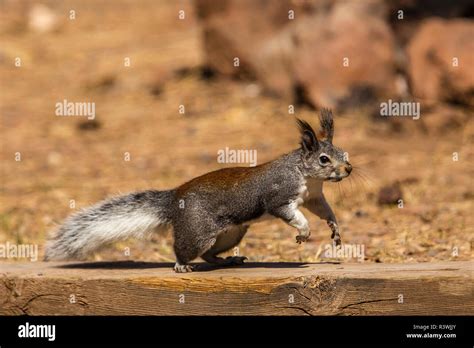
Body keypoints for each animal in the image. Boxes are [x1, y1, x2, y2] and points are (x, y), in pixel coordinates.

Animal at [45, 109, 352, 272]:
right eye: (324, 159)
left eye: (344, 153)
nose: (348, 169)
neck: (306, 175)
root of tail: (175, 199)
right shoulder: (279, 194)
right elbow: (291, 213)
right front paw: (304, 231)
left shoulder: (314, 196)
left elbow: (325, 211)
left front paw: (335, 229)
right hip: (198, 231)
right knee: (185, 248)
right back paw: (181, 265)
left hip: (232, 233)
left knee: (209, 254)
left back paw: (228, 259)